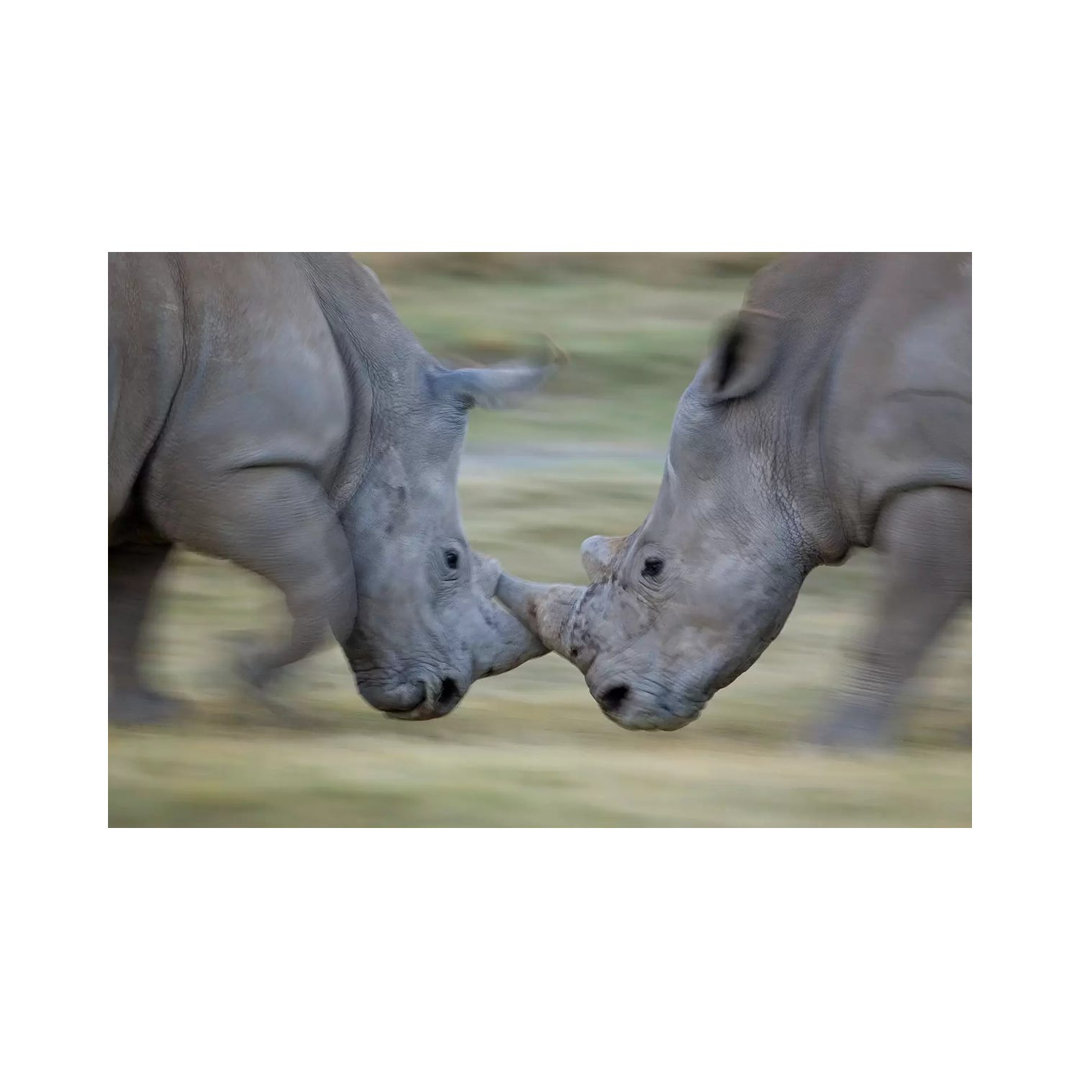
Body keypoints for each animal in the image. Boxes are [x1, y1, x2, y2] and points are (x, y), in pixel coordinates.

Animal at [109, 252, 547, 723]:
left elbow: (131, 588)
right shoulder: (224, 470)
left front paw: (143, 715)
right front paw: (244, 669)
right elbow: (329, 580)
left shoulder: (154, 471)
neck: (377, 399)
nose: (444, 696)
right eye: (451, 561)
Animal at [498, 253, 971, 745]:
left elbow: (901, 621)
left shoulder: (932, 475)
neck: (788, 408)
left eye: (653, 567)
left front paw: (830, 746)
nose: (613, 700)